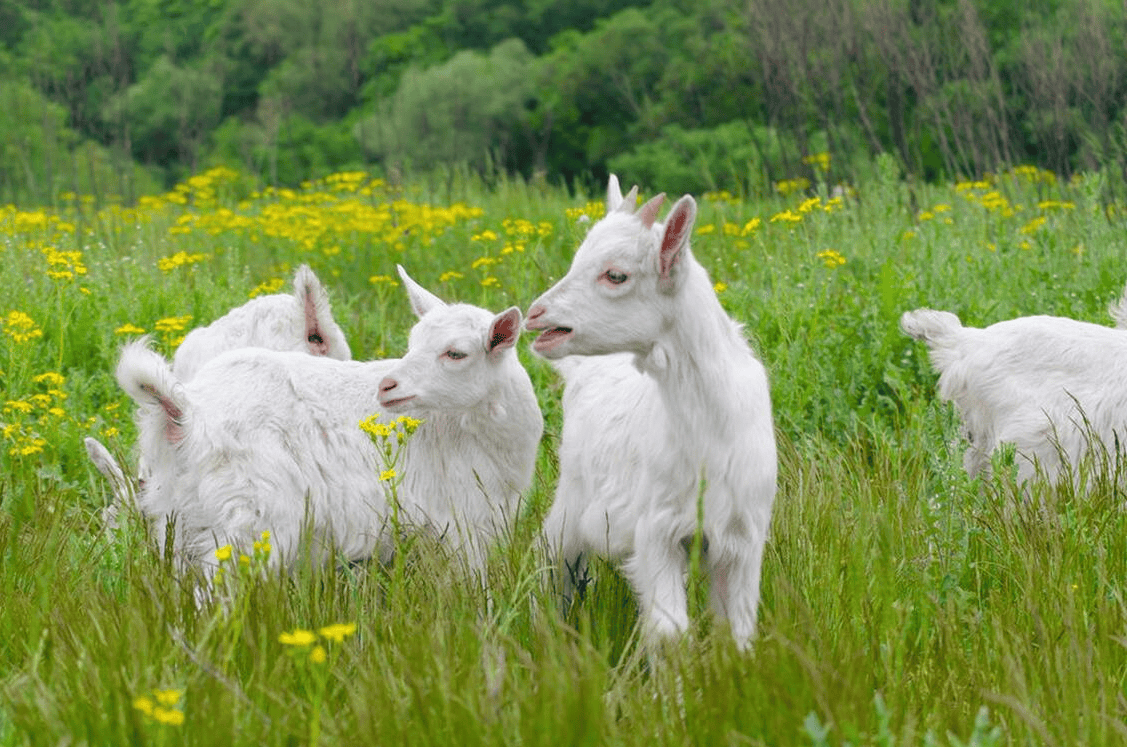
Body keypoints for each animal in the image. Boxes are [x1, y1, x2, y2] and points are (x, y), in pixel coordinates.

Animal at [113, 269, 540, 585]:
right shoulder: (464, 523)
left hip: (179, 520)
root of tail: (187, 411)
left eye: (455, 353)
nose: (387, 386)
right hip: (250, 520)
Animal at [525, 178, 775, 653]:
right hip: (573, 496)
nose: (535, 316)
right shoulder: (657, 527)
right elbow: (670, 632)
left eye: (615, 274)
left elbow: (737, 629)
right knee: (554, 557)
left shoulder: (743, 535)